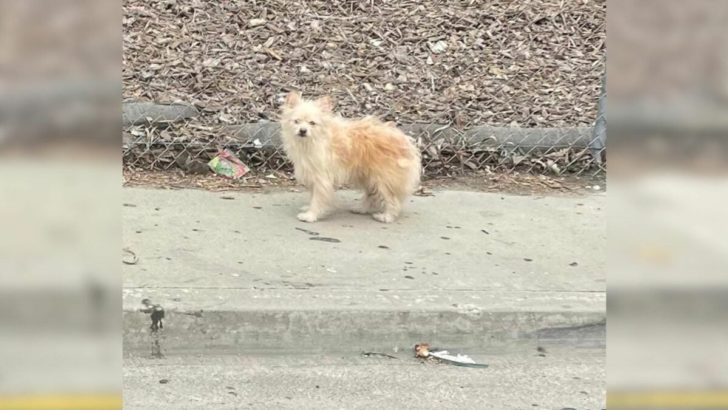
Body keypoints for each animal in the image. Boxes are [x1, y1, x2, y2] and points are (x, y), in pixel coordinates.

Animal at [282, 91, 424, 223]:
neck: (312, 141)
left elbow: (318, 198)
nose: (303, 130)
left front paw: (311, 215)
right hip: (368, 176)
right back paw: (362, 208)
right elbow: (313, 195)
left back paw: (387, 217)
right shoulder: (313, 174)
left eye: (312, 123)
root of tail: (406, 140)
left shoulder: (322, 178)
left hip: (384, 178)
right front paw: (309, 208)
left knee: (391, 199)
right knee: (372, 195)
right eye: (296, 121)